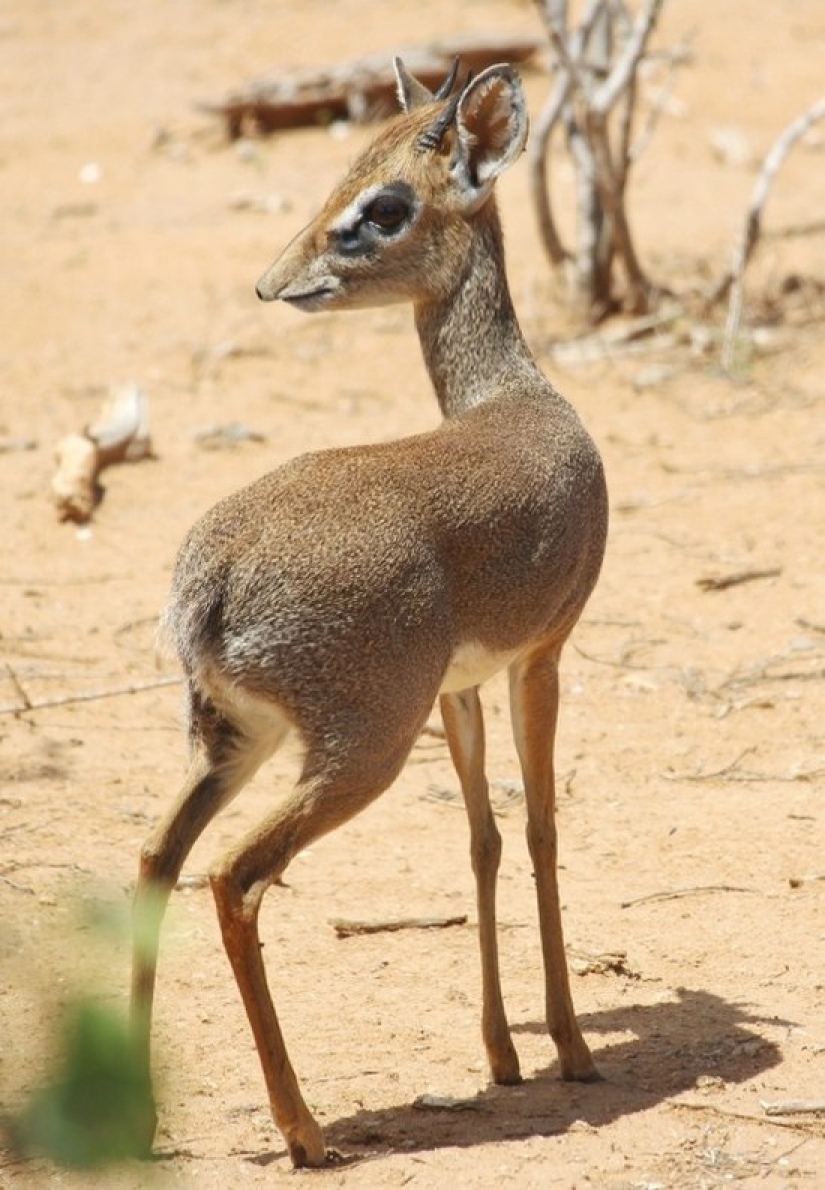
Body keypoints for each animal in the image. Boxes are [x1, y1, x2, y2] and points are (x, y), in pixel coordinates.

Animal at [132, 60, 607, 1166]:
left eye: (381, 203)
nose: (275, 282)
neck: (512, 398)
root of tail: (213, 578)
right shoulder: (542, 656)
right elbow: (542, 829)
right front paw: (568, 1046)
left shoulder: (462, 688)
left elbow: (482, 838)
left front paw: (503, 1053)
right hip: (359, 750)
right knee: (233, 877)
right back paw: (304, 1129)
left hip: (233, 741)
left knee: (156, 861)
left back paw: (133, 1114)